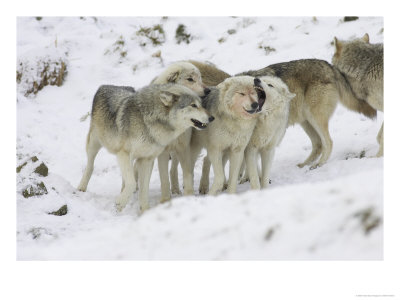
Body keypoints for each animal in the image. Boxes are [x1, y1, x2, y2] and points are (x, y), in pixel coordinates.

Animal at [77, 83, 212, 212]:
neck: (149, 121)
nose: (212, 118)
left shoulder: (146, 160)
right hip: (94, 143)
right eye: (193, 105)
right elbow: (132, 183)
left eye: (201, 104)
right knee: (90, 166)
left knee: (126, 177)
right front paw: (120, 203)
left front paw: (144, 211)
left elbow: (143, 189)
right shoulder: (124, 154)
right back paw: (81, 188)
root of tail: (105, 85)